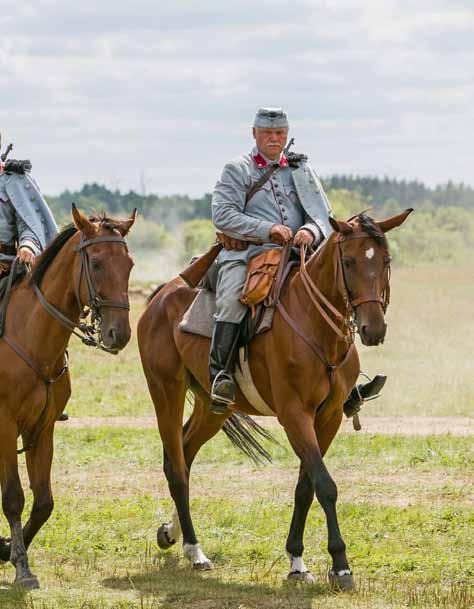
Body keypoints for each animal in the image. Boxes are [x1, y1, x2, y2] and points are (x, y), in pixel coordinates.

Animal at [0, 205, 136, 588]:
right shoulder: (5, 426)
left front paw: (6, 549)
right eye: (97, 263)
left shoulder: (41, 430)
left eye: (130, 264)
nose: (119, 334)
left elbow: (43, 502)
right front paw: (22, 568)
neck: (30, 336)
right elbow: (13, 498)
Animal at [137, 209, 412, 588]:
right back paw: (195, 550)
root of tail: (163, 293)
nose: (374, 329)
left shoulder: (328, 419)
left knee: (185, 453)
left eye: (385, 260)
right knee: (176, 467)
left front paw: (297, 561)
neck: (314, 325)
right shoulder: (295, 416)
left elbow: (305, 487)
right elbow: (325, 485)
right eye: (349, 261)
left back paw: (171, 532)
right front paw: (341, 564)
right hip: (166, 391)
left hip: (212, 407)